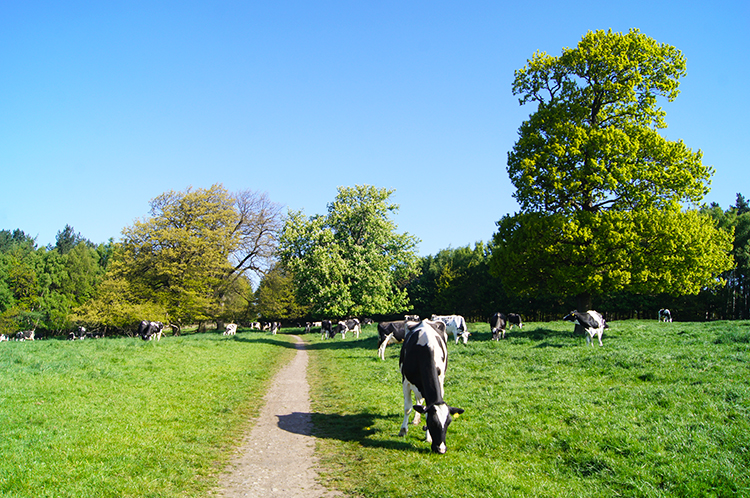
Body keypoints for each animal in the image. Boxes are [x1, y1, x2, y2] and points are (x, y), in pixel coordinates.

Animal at [400, 320, 464, 454]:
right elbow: (408, 408)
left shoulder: (440, 381)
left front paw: (428, 437)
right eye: (433, 423)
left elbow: (425, 409)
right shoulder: (406, 382)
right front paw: (403, 430)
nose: (441, 449)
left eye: (448, 423)